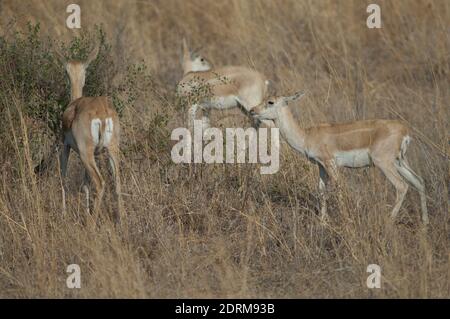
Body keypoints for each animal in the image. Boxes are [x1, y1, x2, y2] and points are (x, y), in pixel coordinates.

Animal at [59, 45, 124, 224]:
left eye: (65, 71)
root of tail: (101, 112)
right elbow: (85, 184)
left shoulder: (65, 147)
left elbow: (63, 178)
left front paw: (64, 214)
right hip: (111, 150)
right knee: (117, 183)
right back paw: (121, 221)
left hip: (85, 154)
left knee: (100, 183)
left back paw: (91, 224)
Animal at [250, 91, 428, 224]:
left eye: (271, 102)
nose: (252, 111)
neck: (307, 136)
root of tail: (404, 130)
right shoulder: (321, 166)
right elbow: (321, 190)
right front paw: (322, 222)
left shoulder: (330, 163)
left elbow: (339, 187)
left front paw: (345, 219)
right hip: (400, 162)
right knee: (419, 181)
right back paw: (425, 223)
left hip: (384, 163)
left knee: (401, 186)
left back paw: (389, 221)